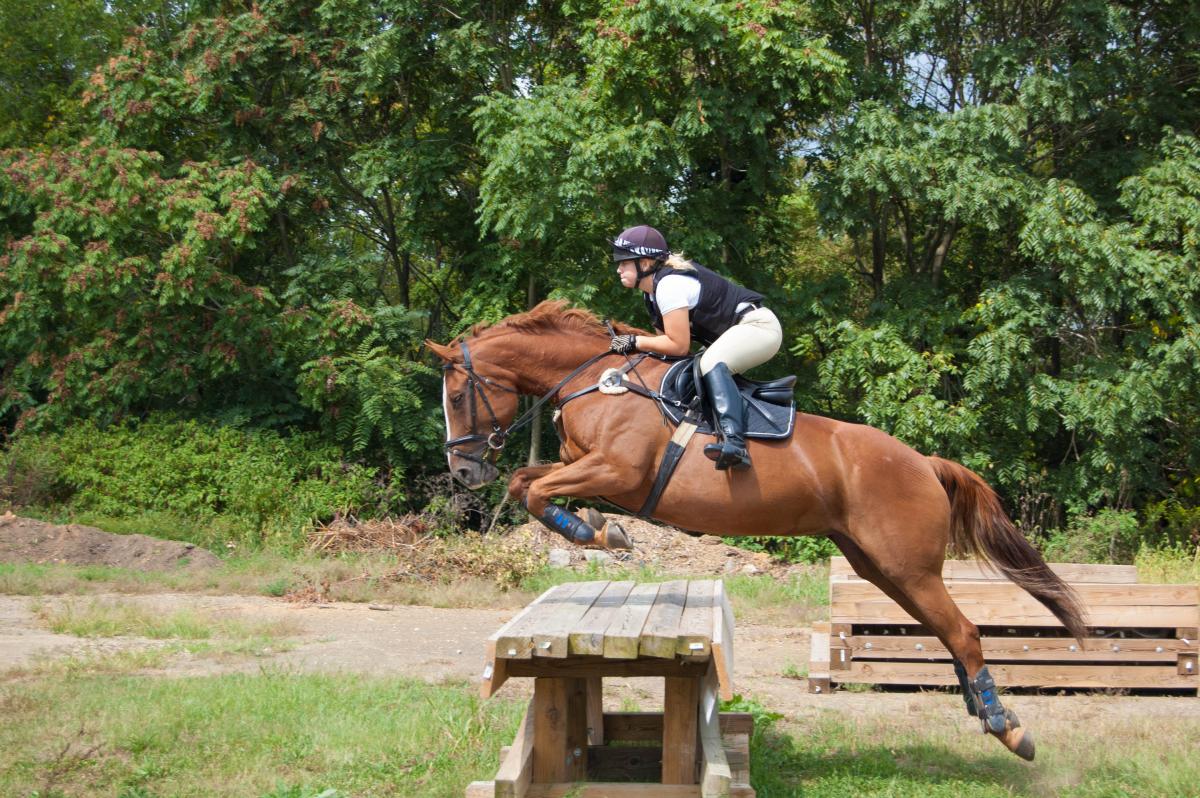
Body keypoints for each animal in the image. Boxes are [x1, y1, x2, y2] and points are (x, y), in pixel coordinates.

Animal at [429, 300, 1089, 758]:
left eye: (459, 396)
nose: (462, 471)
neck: (596, 380)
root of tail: (923, 462)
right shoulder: (581, 466)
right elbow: (526, 484)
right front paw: (594, 526)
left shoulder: (618, 471)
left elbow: (536, 489)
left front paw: (605, 534)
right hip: (880, 567)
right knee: (949, 633)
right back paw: (990, 716)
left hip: (908, 566)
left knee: (966, 632)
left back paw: (1008, 728)